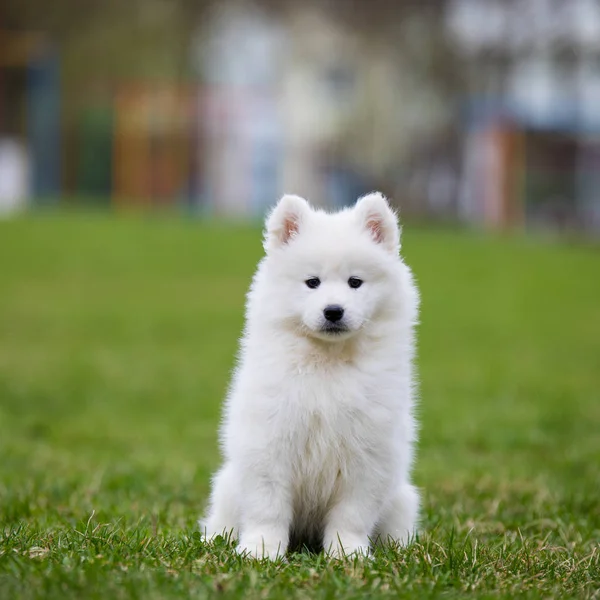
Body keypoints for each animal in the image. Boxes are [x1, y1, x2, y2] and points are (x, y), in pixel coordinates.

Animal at [199, 191, 420, 556]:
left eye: (355, 282)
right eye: (312, 283)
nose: (333, 311)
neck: (327, 362)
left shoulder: (369, 456)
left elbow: (352, 515)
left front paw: (347, 554)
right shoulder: (269, 446)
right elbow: (268, 508)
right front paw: (261, 550)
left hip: (402, 499)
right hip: (227, 487)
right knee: (224, 519)